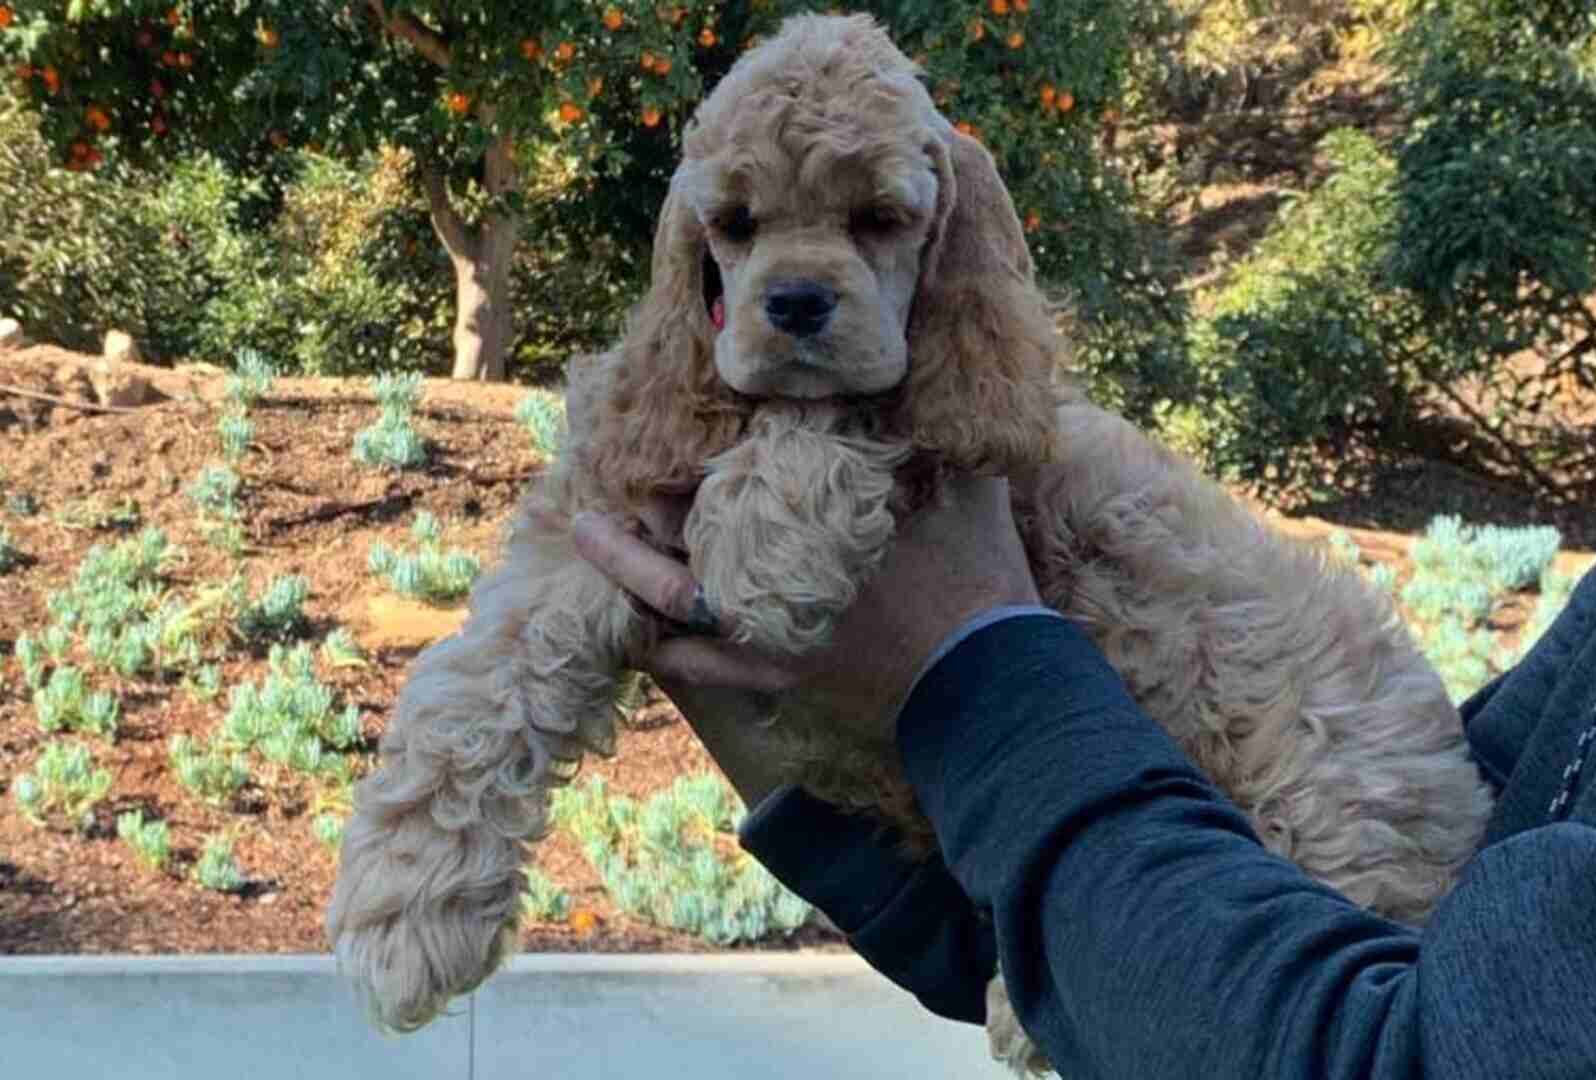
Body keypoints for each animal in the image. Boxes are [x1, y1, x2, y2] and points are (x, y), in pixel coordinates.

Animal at [327, 14, 1493, 1072]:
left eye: (880, 218)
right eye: (734, 224)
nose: (797, 303)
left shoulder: (952, 425)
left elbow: (844, 421)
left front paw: (766, 550)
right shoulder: (594, 521)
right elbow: (474, 687)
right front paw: (403, 913)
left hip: (1336, 763)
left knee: (1330, 868)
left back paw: (1026, 1007)